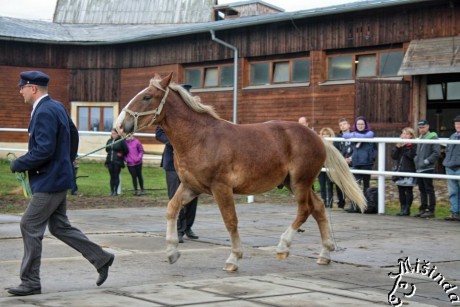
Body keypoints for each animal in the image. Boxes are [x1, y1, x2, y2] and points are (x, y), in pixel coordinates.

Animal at [117, 73, 366, 274]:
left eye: (147, 97)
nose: (121, 125)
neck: (200, 138)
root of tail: (318, 138)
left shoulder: (221, 188)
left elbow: (230, 221)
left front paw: (233, 259)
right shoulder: (191, 187)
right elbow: (171, 209)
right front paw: (171, 252)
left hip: (300, 182)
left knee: (305, 210)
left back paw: (283, 247)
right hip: (294, 183)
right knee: (319, 208)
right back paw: (325, 254)